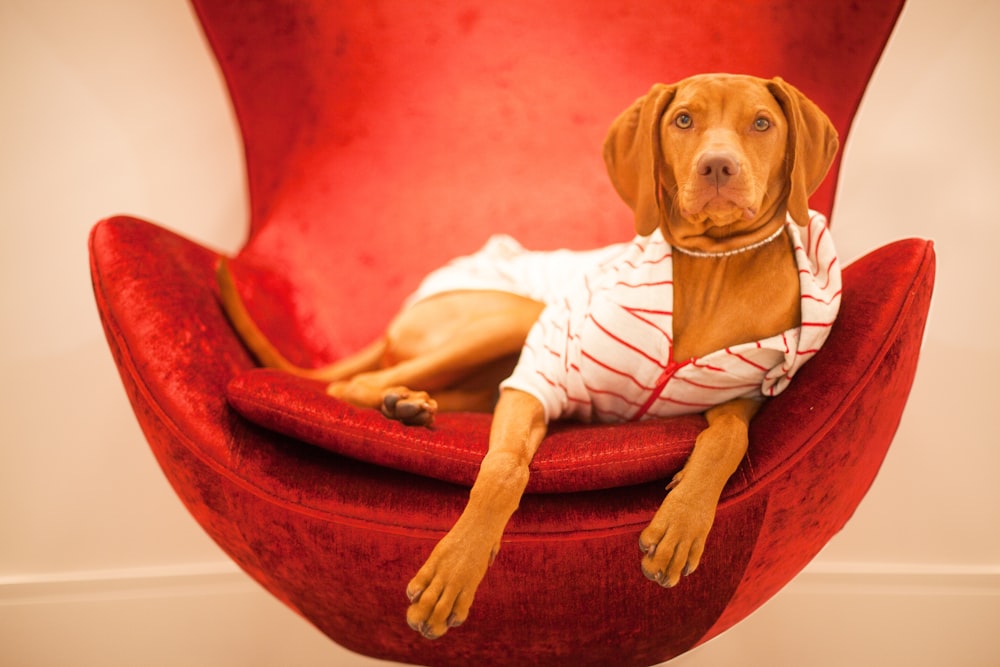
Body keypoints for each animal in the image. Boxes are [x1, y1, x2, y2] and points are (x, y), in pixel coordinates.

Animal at [217, 73, 836, 640]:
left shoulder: (744, 391)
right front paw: (455, 569)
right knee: (354, 385)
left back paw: (410, 406)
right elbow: (503, 467)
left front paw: (682, 522)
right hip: (513, 317)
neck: (713, 269)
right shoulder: (538, 376)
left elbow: (730, 438)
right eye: (684, 120)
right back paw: (399, 401)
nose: (717, 168)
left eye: (762, 123)